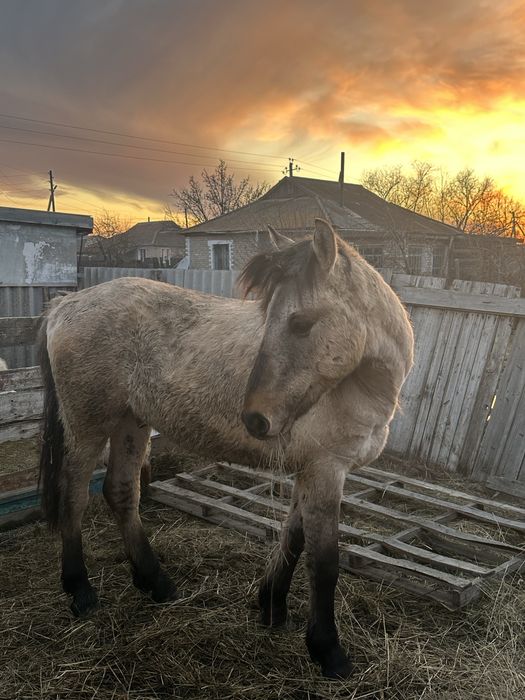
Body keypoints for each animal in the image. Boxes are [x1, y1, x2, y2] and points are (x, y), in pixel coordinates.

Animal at [38, 218, 413, 679]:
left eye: (300, 323)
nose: (256, 419)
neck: (359, 382)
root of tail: (65, 305)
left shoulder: (310, 472)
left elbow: (293, 539)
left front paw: (272, 607)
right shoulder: (327, 471)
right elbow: (324, 562)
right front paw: (328, 650)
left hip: (131, 421)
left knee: (121, 492)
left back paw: (155, 582)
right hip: (88, 425)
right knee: (74, 495)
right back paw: (80, 589)